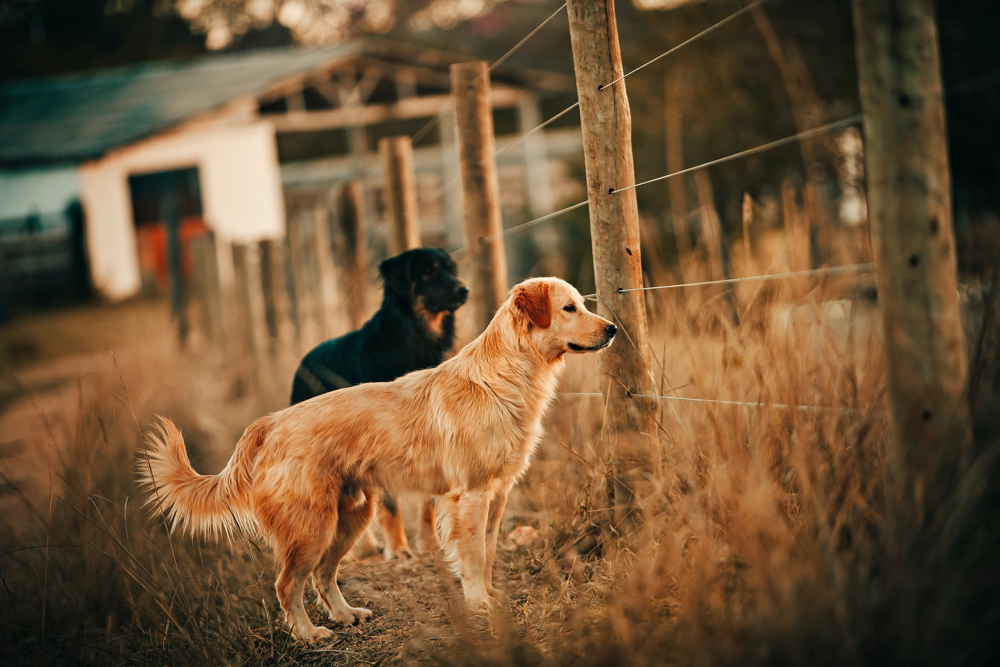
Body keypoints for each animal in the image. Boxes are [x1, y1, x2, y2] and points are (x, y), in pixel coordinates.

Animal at [290, 245, 468, 560]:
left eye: (450, 269)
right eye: (428, 271)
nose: (464, 289)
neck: (413, 339)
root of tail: (305, 362)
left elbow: (427, 502)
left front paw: (429, 544)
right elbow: (391, 504)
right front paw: (398, 549)